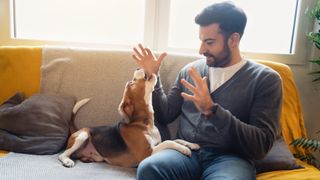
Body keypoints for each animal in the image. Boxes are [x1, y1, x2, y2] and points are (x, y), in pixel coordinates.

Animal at [58, 68, 199, 167]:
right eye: (132, 83)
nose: (137, 68)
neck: (144, 124)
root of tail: (79, 129)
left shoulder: (156, 143)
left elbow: (176, 139)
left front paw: (191, 144)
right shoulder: (146, 153)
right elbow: (169, 142)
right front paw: (184, 149)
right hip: (83, 135)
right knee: (62, 154)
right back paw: (67, 161)